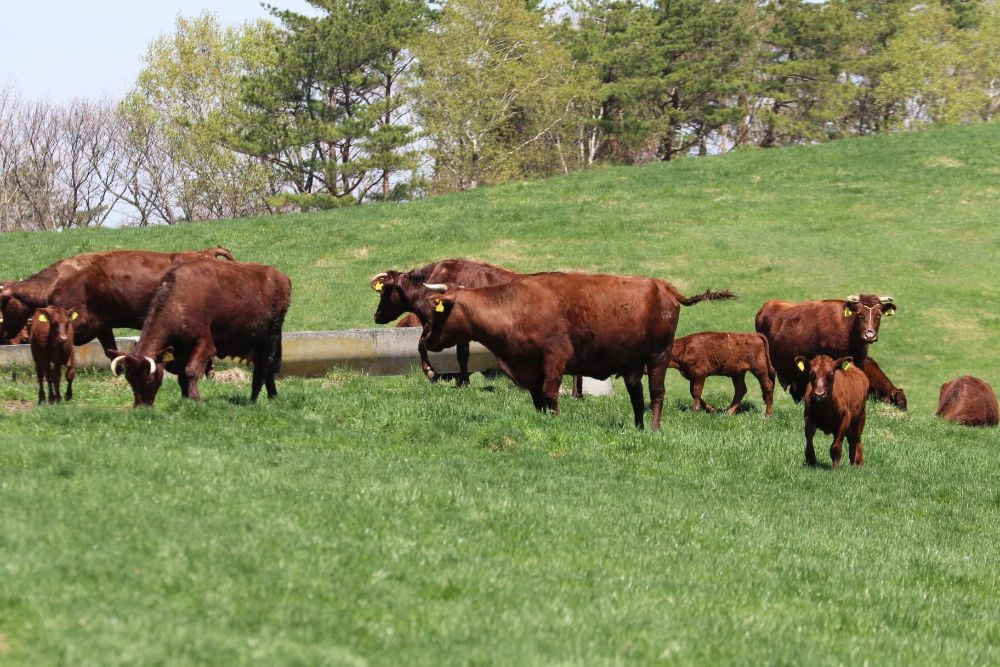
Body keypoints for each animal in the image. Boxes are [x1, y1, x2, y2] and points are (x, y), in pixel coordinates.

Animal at [0, 248, 235, 358]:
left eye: (3, 302)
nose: (3, 333)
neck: (56, 281)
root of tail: (207, 252)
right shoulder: (102, 326)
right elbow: (111, 351)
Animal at [107, 260, 292, 408]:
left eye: (149, 379)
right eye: (130, 380)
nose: (141, 407)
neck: (178, 300)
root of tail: (281, 277)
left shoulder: (205, 345)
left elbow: (190, 371)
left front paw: (195, 399)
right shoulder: (180, 351)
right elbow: (182, 377)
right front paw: (185, 399)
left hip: (270, 340)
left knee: (262, 370)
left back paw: (252, 401)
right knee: (267, 371)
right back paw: (272, 397)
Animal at [372, 260, 520, 388]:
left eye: (383, 292)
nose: (376, 315)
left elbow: (422, 345)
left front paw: (431, 372)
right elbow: (461, 355)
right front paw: (463, 381)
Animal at [422, 272, 736, 434]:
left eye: (438, 312)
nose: (425, 340)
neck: (515, 307)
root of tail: (663, 287)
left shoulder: (554, 358)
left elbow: (550, 393)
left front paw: (556, 422)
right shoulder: (530, 367)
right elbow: (538, 399)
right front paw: (544, 421)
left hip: (658, 356)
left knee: (656, 394)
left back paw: (655, 429)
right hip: (633, 364)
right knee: (637, 396)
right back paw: (638, 428)